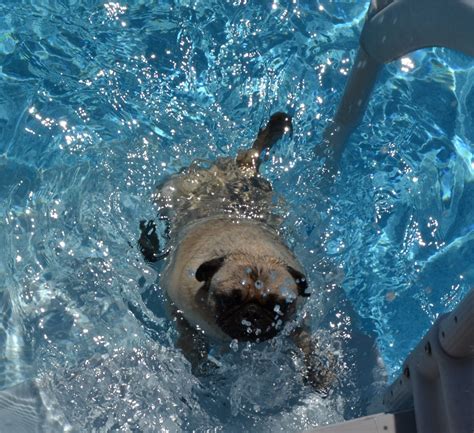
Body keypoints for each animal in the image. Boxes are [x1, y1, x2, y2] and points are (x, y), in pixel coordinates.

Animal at [139, 113, 336, 390]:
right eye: (229, 299)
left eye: (280, 306)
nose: (252, 313)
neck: (251, 252)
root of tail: (243, 166)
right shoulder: (176, 304)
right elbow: (190, 340)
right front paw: (199, 361)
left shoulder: (296, 321)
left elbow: (306, 342)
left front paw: (316, 369)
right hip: (167, 195)